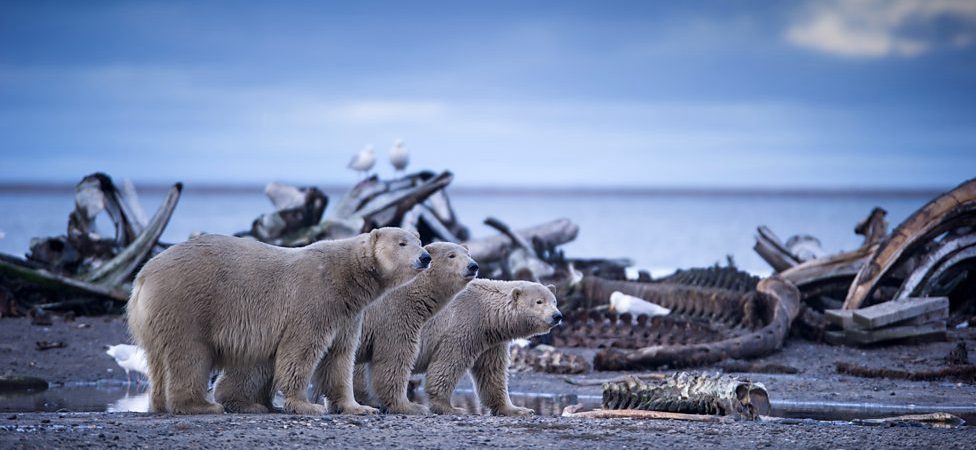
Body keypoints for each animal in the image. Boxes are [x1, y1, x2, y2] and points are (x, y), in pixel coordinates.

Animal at [124, 227, 428, 416]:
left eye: (419, 240)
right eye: (402, 243)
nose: (425, 257)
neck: (348, 276)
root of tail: (142, 276)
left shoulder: (348, 315)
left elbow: (339, 358)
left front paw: (359, 407)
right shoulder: (316, 298)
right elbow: (301, 350)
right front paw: (306, 405)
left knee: (159, 361)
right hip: (186, 304)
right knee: (190, 355)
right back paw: (201, 405)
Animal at [414, 280, 564, 416]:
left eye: (554, 301)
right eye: (539, 301)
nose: (557, 316)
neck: (486, 312)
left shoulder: (490, 340)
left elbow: (491, 371)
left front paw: (519, 410)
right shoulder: (462, 325)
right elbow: (449, 362)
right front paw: (449, 408)